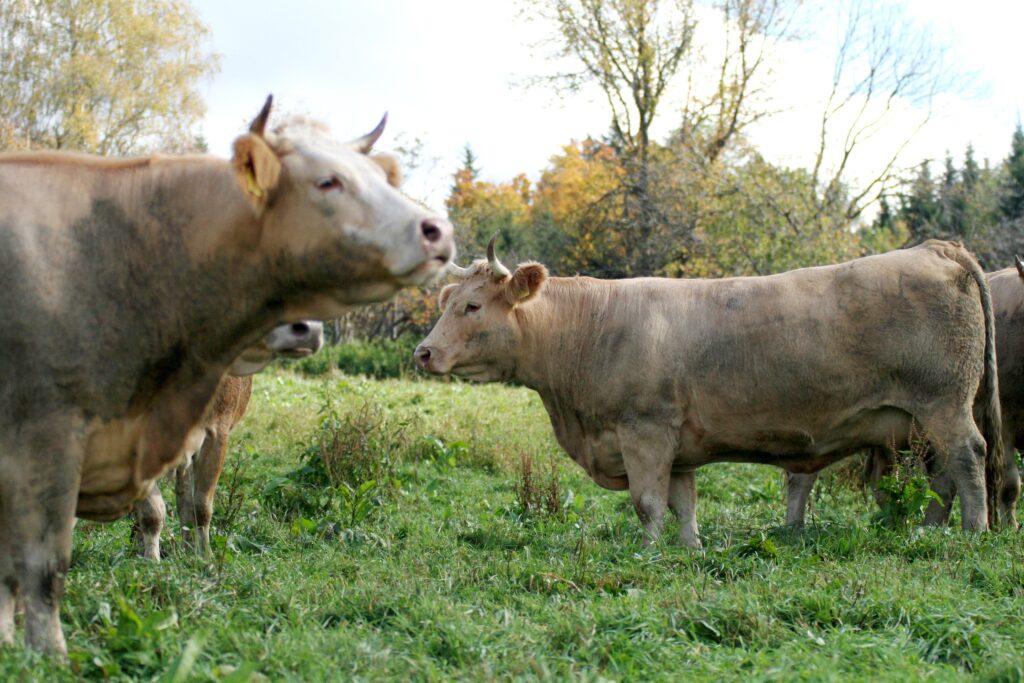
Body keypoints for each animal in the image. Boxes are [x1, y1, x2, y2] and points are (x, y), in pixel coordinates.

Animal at [413, 237, 999, 552]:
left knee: (968, 461)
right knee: (943, 477)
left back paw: (974, 533)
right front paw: (689, 549)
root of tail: (936, 248)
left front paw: (647, 553)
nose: (423, 352)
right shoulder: (677, 444)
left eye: (471, 306)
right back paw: (928, 531)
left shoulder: (644, 430)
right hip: (924, 419)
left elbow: (647, 502)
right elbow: (683, 502)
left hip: (945, 405)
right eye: (449, 300)